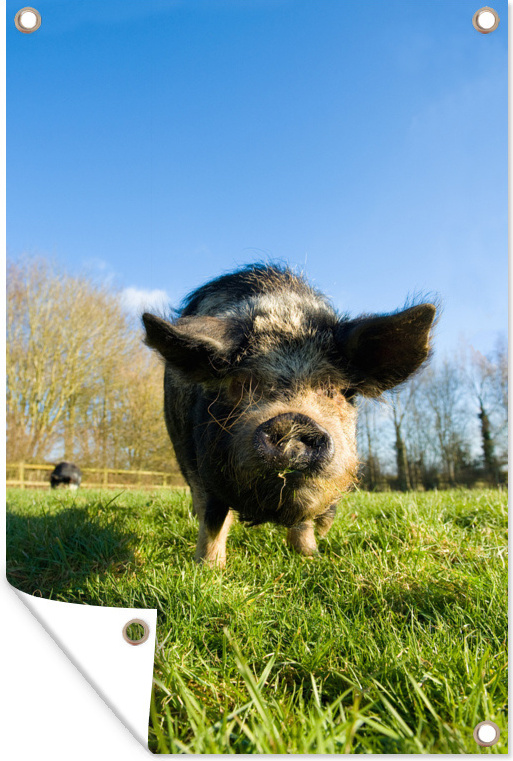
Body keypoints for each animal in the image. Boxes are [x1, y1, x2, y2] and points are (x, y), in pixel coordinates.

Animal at [143, 264, 435, 566]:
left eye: (332, 388)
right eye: (241, 384)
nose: (292, 421)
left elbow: (304, 522)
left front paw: (311, 557)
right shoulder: (198, 460)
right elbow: (214, 519)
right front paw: (208, 569)